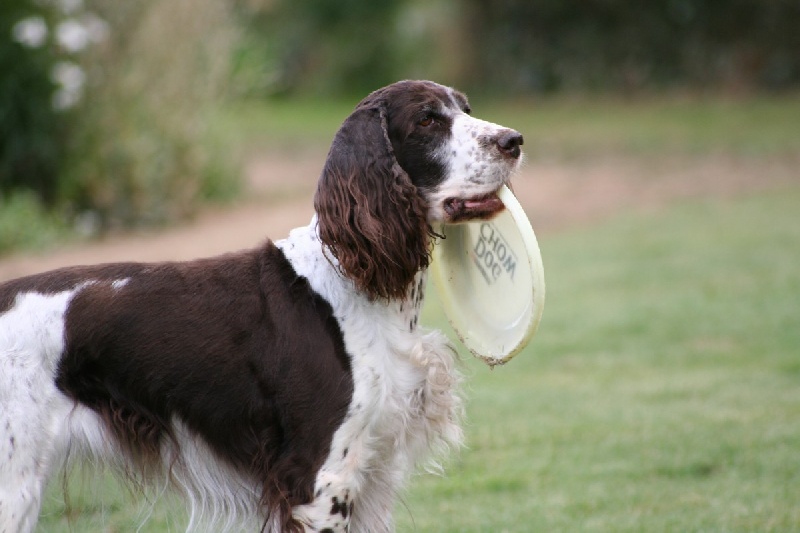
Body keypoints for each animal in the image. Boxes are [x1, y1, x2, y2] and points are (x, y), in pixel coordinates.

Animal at [1, 80, 524, 532]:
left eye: (466, 109)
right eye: (427, 120)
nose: (514, 140)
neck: (354, 285)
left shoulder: (370, 472)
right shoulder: (318, 479)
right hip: (15, 484)